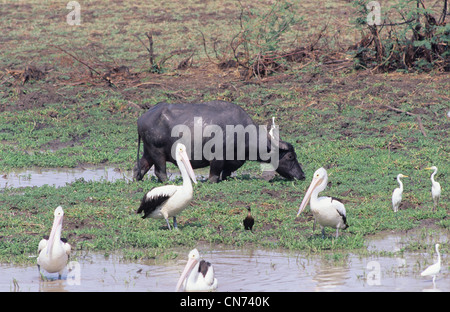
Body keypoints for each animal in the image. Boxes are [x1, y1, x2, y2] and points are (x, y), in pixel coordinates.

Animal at [132, 100, 304, 183]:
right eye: (290, 156)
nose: (302, 175)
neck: (243, 133)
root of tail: (141, 119)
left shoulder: (234, 161)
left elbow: (226, 173)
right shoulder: (217, 158)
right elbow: (214, 174)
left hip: (148, 152)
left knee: (139, 167)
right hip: (157, 152)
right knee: (160, 171)